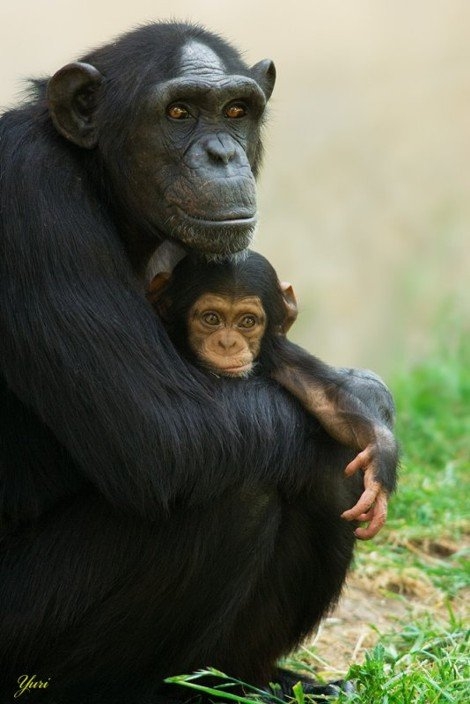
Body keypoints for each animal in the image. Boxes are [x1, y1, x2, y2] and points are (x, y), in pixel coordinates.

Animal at [149, 250, 398, 536]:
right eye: (211, 318)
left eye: (247, 321)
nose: (227, 343)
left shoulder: (278, 353)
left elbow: (324, 398)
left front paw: (378, 457)